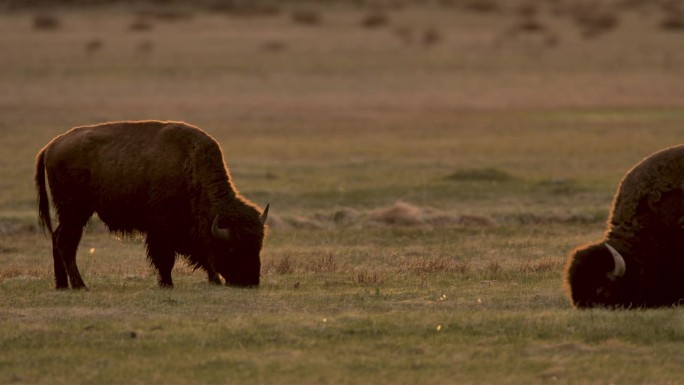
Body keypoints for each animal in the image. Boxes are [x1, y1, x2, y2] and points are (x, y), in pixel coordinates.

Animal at [35, 120, 268, 288]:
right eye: (232, 248)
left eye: (258, 245)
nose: (250, 282)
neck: (191, 166)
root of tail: (52, 145)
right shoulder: (161, 228)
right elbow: (166, 257)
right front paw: (167, 283)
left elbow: (200, 254)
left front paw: (214, 280)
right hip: (75, 211)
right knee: (66, 243)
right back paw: (79, 285)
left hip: (72, 213)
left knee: (57, 238)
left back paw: (62, 285)